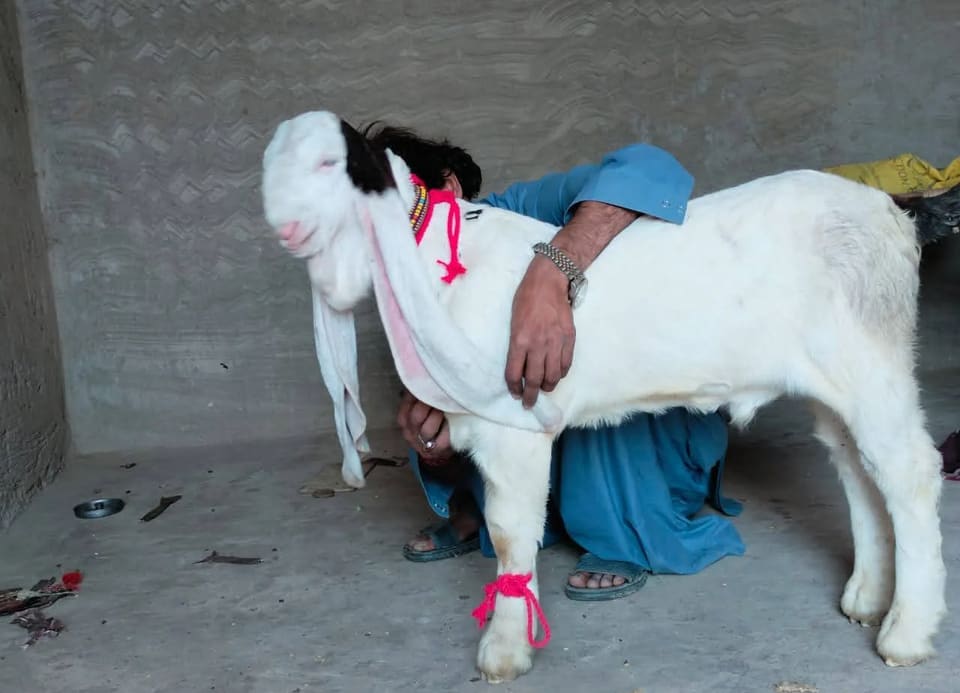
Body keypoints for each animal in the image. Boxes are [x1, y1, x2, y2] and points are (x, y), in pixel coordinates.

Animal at [261, 110, 946, 683]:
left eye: (328, 164)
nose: (285, 229)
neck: (435, 258)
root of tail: (890, 214)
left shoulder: (512, 423)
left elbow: (509, 535)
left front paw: (504, 652)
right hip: (835, 384)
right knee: (857, 470)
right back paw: (866, 597)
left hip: (875, 360)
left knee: (910, 471)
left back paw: (906, 633)